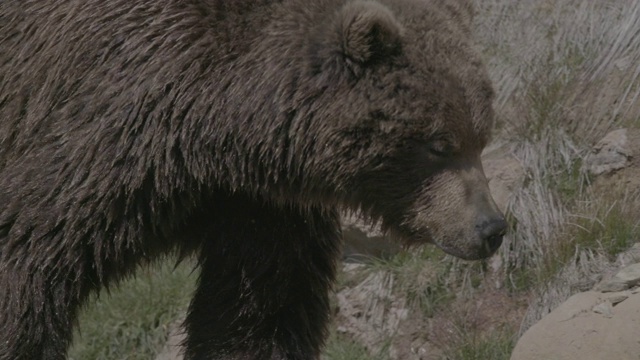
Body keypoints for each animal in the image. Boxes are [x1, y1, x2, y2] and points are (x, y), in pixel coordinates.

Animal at [1, 0, 504, 358]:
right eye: (440, 143)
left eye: (481, 136)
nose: (491, 228)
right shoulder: (111, 123)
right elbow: (31, 249)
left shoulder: (257, 205)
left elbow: (260, 309)